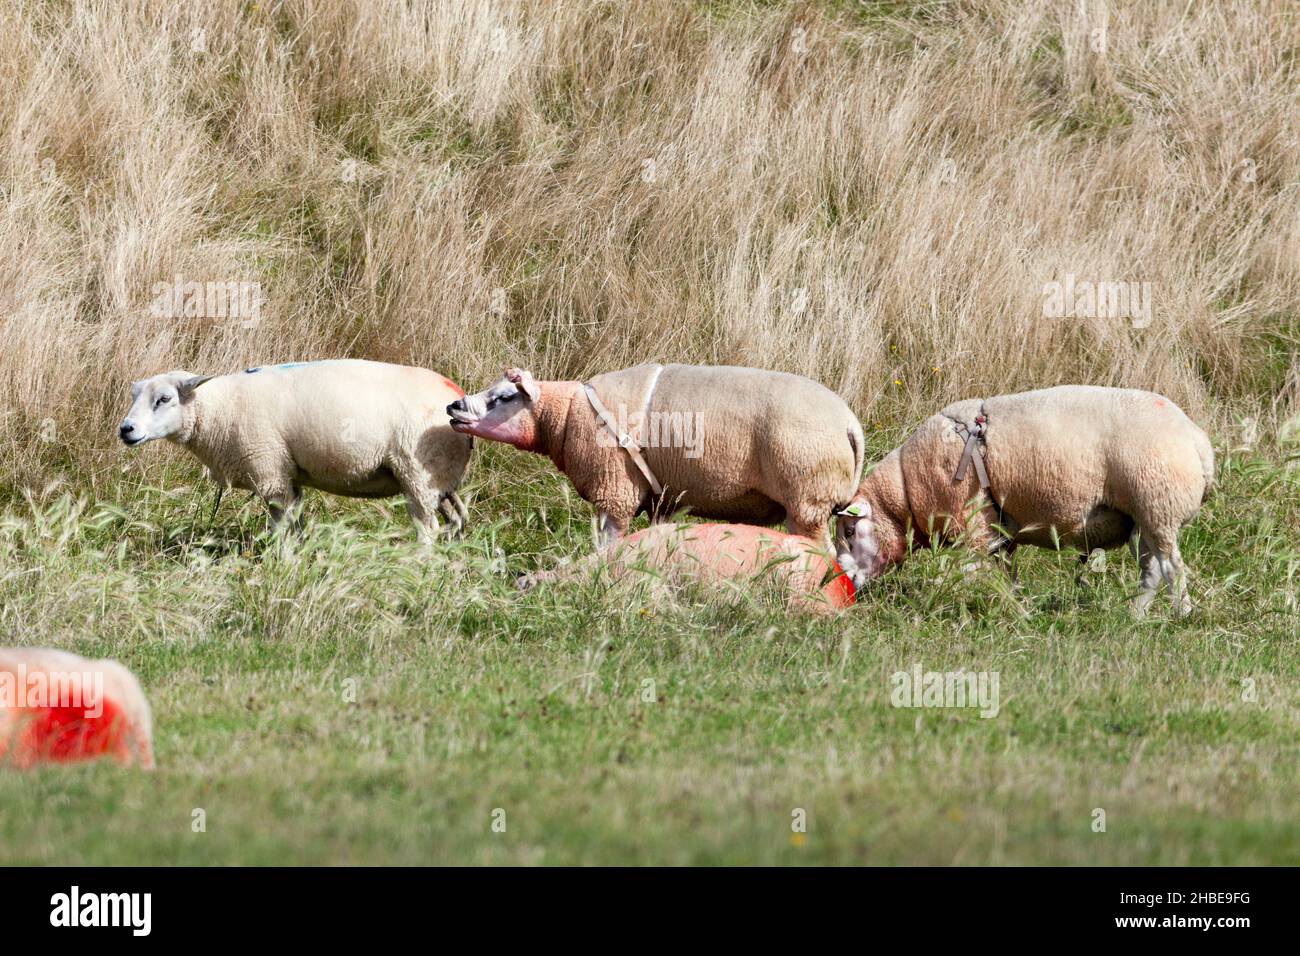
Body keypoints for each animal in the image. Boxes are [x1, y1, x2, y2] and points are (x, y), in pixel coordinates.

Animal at [119, 358, 475, 538]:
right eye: (134, 397)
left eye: (164, 399)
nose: (126, 429)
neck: (218, 408)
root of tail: (455, 393)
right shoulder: (286, 474)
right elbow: (295, 523)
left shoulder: (270, 471)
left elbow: (280, 526)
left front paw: (282, 560)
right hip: (439, 477)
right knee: (458, 517)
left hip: (418, 472)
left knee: (427, 527)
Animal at [447, 364, 863, 546]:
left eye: (503, 398)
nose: (453, 406)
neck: (565, 415)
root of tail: (849, 423)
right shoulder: (662, 501)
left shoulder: (614, 491)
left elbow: (608, 543)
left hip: (807, 498)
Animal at [837, 385, 1211, 616]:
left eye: (851, 532)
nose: (845, 579)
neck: (907, 491)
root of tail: (1198, 442)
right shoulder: (998, 533)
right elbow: (1006, 574)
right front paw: (1016, 607)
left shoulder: (973, 525)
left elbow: (970, 573)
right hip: (1143, 519)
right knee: (1152, 571)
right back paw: (1135, 614)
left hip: (1158, 504)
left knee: (1173, 568)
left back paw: (1182, 613)